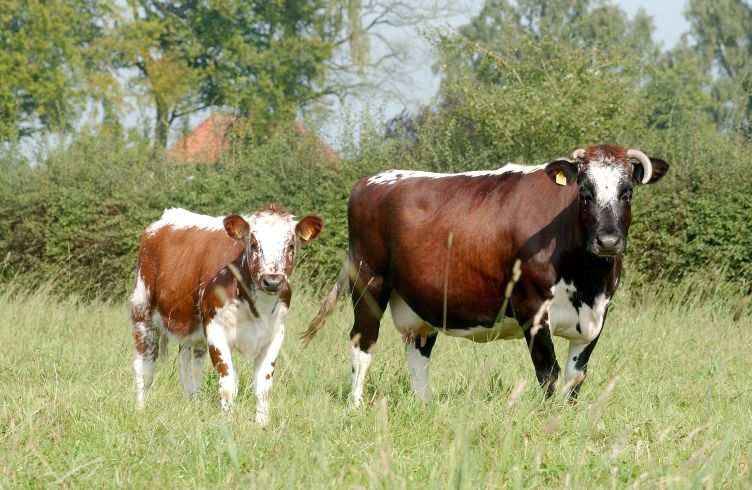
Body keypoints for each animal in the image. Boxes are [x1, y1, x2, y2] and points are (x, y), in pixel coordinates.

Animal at [130, 205, 324, 424]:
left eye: (291, 245)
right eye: (253, 244)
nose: (272, 281)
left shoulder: (276, 334)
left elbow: (263, 387)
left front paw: (262, 425)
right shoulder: (216, 330)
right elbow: (228, 385)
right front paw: (228, 423)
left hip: (192, 331)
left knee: (190, 369)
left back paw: (193, 405)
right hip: (142, 313)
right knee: (143, 368)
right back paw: (140, 409)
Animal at [302, 145, 668, 406]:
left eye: (627, 192)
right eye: (585, 193)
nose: (608, 241)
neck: (587, 280)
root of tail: (370, 181)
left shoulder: (597, 315)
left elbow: (575, 377)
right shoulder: (532, 307)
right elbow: (548, 372)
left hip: (421, 299)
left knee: (418, 352)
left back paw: (426, 406)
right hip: (369, 282)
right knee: (362, 343)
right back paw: (356, 405)